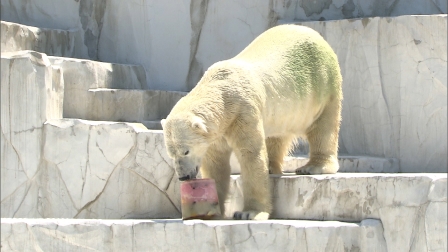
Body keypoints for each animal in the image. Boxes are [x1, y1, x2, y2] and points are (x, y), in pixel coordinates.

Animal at [163, 24, 342, 220]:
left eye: (186, 151)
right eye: (171, 154)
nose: (183, 177)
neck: (223, 93)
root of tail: (316, 35)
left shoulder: (242, 111)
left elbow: (251, 154)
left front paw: (249, 212)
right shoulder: (218, 131)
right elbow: (216, 163)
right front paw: (212, 208)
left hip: (323, 85)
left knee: (323, 127)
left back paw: (314, 166)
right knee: (277, 134)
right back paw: (272, 167)